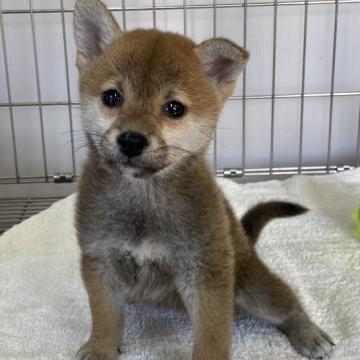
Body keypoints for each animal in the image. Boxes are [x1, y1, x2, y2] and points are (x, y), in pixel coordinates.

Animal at [72, 1, 334, 358]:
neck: (144, 198)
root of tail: (247, 244)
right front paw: (100, 348)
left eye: (174, 108)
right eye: (112, 97)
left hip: (252, 287)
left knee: (287, 303)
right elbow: (105, 316)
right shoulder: (99, 261)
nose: (131, 140)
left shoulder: (207, 273)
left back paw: (308, 333)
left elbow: (212, 334)